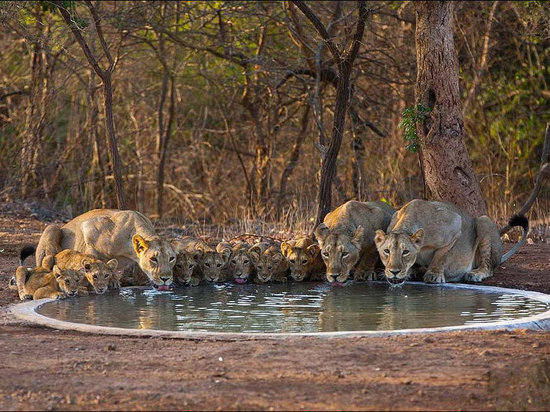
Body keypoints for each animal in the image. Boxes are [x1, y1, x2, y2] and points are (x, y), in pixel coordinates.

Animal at [34, 209, 176, 290]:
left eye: (172, 258)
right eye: (153, 259)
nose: (165, 278)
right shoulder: (88, 228)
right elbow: (96, 261)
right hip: (52, 227)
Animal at [376, 199, 532, 284]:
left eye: (406, 252)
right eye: (386, 251)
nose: (394, 272)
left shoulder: (455, 223)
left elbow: (441, 255)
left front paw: (434, 275)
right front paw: (411, 271)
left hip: (484, 221)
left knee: (489, 268)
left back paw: (473, 274)